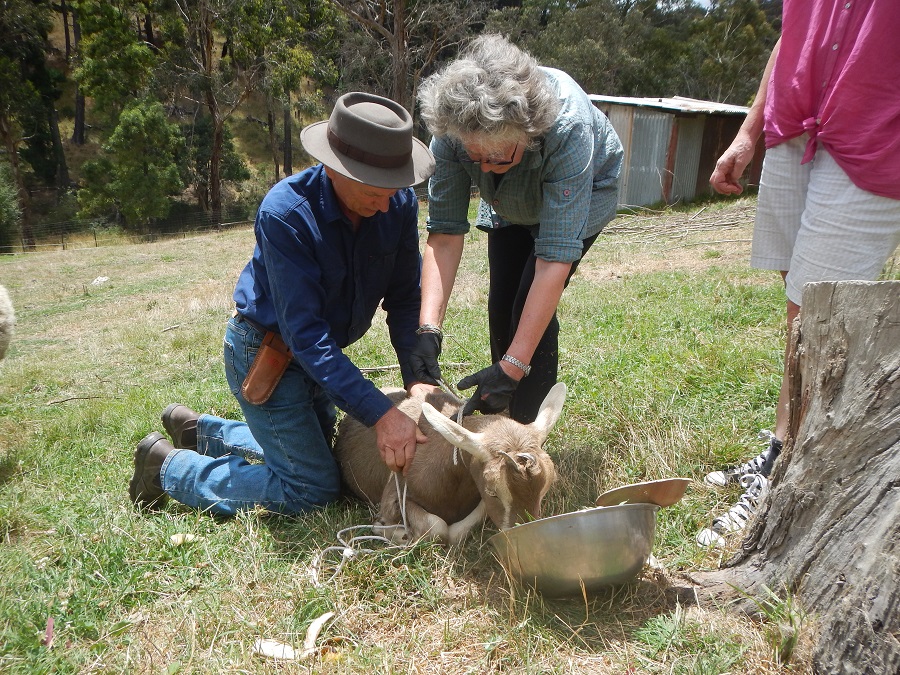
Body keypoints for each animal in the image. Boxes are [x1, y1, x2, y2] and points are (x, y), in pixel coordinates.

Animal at [334, 382, 566, 546]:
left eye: (546, 488)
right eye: (493, 492)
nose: (524, 533)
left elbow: (456, 531)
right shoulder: (394, 495)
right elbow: (437, 528)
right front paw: (387, 530)